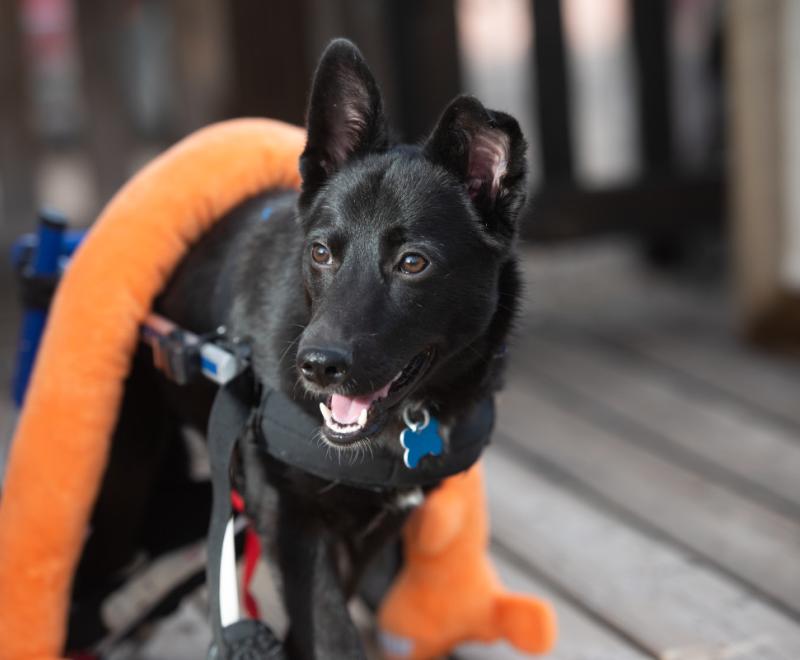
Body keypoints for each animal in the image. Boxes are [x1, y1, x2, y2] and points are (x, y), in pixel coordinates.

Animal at [69, 38, 528, 656]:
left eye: (413, 263)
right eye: (320, 252)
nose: (317, 367)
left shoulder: (369, 528)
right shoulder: (288, 517)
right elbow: (333, 632)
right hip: (123, 477)